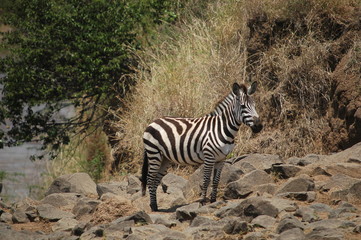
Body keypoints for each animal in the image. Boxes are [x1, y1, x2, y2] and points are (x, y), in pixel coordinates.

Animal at [141, 81, 262, 211]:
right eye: (243, 106)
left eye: (255, 105)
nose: (259, 126)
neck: (221, 128)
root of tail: (153, 122)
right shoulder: (209, 156)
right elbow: (206, 180)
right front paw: (203, 201)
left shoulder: (221, 159)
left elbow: (216, 180)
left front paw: (213, 201)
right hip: (154, 154)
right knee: (150, 179)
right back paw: (153, 206)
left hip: (165, 158)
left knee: (156, 180)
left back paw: (155, 206)